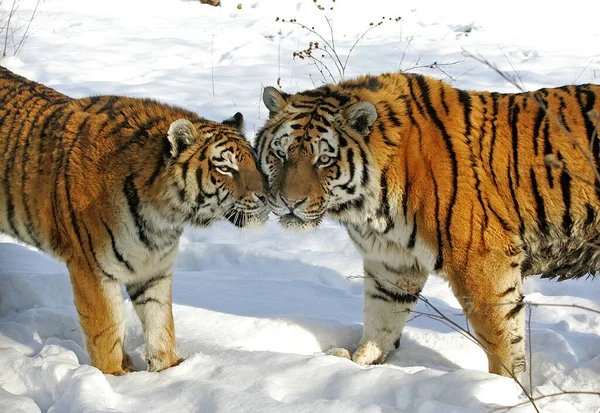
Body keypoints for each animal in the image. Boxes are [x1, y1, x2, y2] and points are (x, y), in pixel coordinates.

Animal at [0, 66, 268, 374]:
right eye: (226, 168)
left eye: (252, 161)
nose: (266, 195)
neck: (162, 217)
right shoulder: (91, 268)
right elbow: (105, 331)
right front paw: (114, 377)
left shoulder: (154, 268)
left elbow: (160, 323)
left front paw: (169, 370)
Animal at [255, 72, 600, 378]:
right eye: (281, 154)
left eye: (323, 160)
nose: (290, 202)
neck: (369, 207)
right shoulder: (392, 262)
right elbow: (381, 319)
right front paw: (359, 362)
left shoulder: (483, 260)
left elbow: (501, 338)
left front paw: (505, 389)